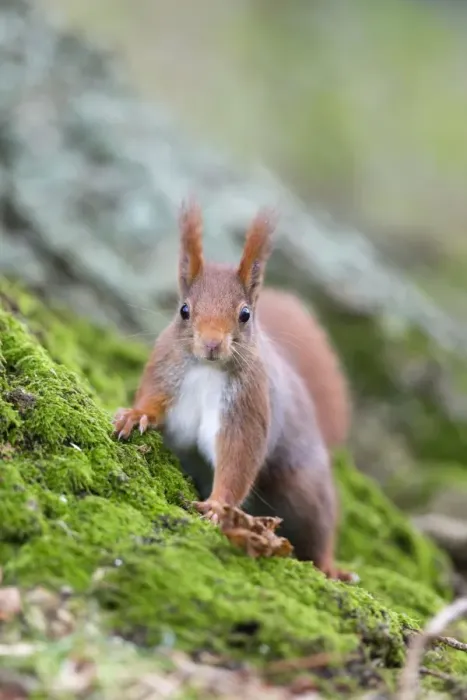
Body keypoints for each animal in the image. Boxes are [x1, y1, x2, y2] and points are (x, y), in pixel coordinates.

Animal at [114, 201, 352, 581]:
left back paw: (331, 567)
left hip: (304, 487)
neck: (207, 370)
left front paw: (216, 506)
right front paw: (134, 416)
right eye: (184, 309)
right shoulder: (163, 371)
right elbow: (152, 401)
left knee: (318, 531)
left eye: (245, 314)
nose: (212, 343)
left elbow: (239, 457)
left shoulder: (248, 406)